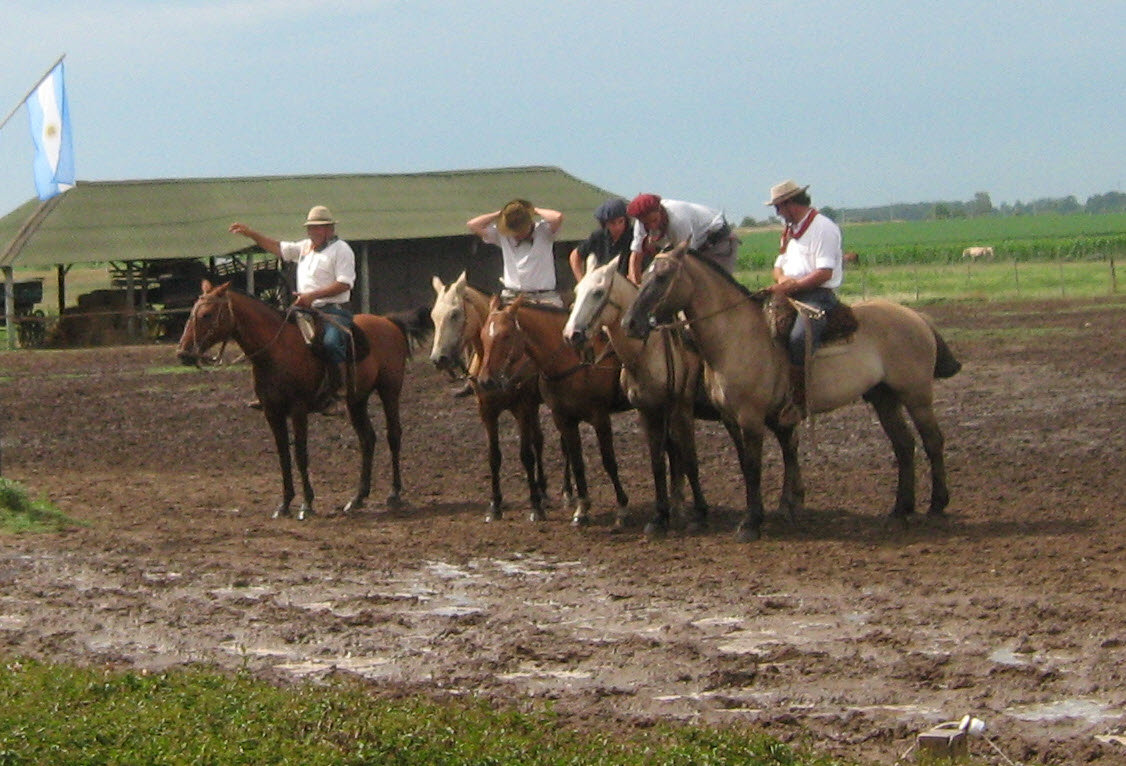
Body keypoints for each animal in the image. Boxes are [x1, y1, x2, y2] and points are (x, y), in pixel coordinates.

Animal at [175, 281, 430, 520]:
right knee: (367, 439)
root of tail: (389, 322)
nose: (183, 354)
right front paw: (284, 504)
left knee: (393, 435)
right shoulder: (272, 411)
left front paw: (306, 505)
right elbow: (283, 456)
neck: (276, 350)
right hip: (356, 400)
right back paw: (357, 498)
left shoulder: (298, 409)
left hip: (390, 390)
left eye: (206, 315)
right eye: (191, 313)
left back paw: (394, 494)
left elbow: (300, 454)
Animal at [427, 272, 551, 522]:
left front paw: (535, 506)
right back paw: (542, 490)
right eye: (433, 316)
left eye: (455, 314)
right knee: (539, 440)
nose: (438, 359)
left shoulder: (521, 408)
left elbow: (526, 455)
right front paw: (495, 505)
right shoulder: (486, 410)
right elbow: (494, 456)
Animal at [477, 295, 635, 527]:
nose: (486, 381)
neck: (575, 362)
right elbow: (577, 462)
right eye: (482, 335)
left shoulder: (600, 418)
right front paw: (582, 509)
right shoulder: (564, 419)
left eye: (506, 335)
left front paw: (622, 508)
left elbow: (609, 461)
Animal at [621, 243, 963, 538]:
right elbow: (745, 463)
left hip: (916, 395)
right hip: (884, 398)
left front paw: (751, 523)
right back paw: (899, 511)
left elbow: (753, 465)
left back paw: (936, 506)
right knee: (904, 445)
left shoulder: (750, 417)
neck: (736, 336)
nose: (630, 323)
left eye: (662, 277)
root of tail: (916, 317)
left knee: (932, 441)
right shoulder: (731, 417)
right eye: (645, 274)